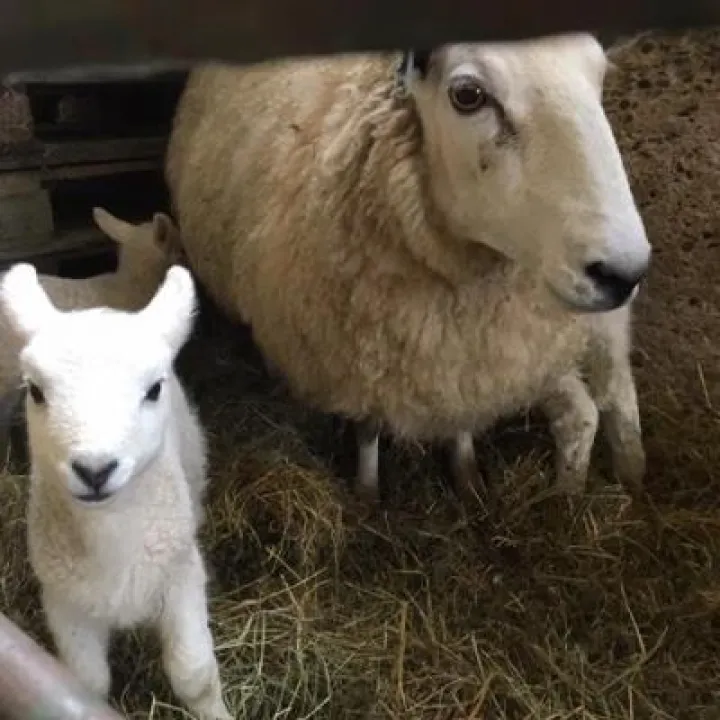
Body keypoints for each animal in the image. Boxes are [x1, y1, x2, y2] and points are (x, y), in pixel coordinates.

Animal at [0, 262, 231, 720]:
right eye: (35, 391)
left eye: (154, 389)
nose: (95, 469)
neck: (111, 534)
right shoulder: (64, 600)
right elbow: (86, 684)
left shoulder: (180, 576)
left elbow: (193, 675)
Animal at [165, 33, 652, 504]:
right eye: (468, 95)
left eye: (599, 75)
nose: (623, 272)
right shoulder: (363, 358)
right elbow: (369, 428)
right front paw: (368, 493)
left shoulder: (465, 359)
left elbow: (461, 416)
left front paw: (466, 476)